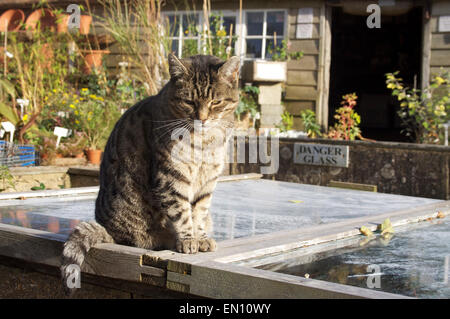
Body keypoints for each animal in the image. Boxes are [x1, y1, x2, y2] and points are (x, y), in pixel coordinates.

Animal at [62, 53, 243, 294]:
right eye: (188, 102)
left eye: (216, 102)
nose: (202, 119)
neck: (205, 141)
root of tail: (110, 231)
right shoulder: (171, 177)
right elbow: (182, 212)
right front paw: (188, 240)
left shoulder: (207, 181)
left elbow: (199, 211)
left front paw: (201, 237)